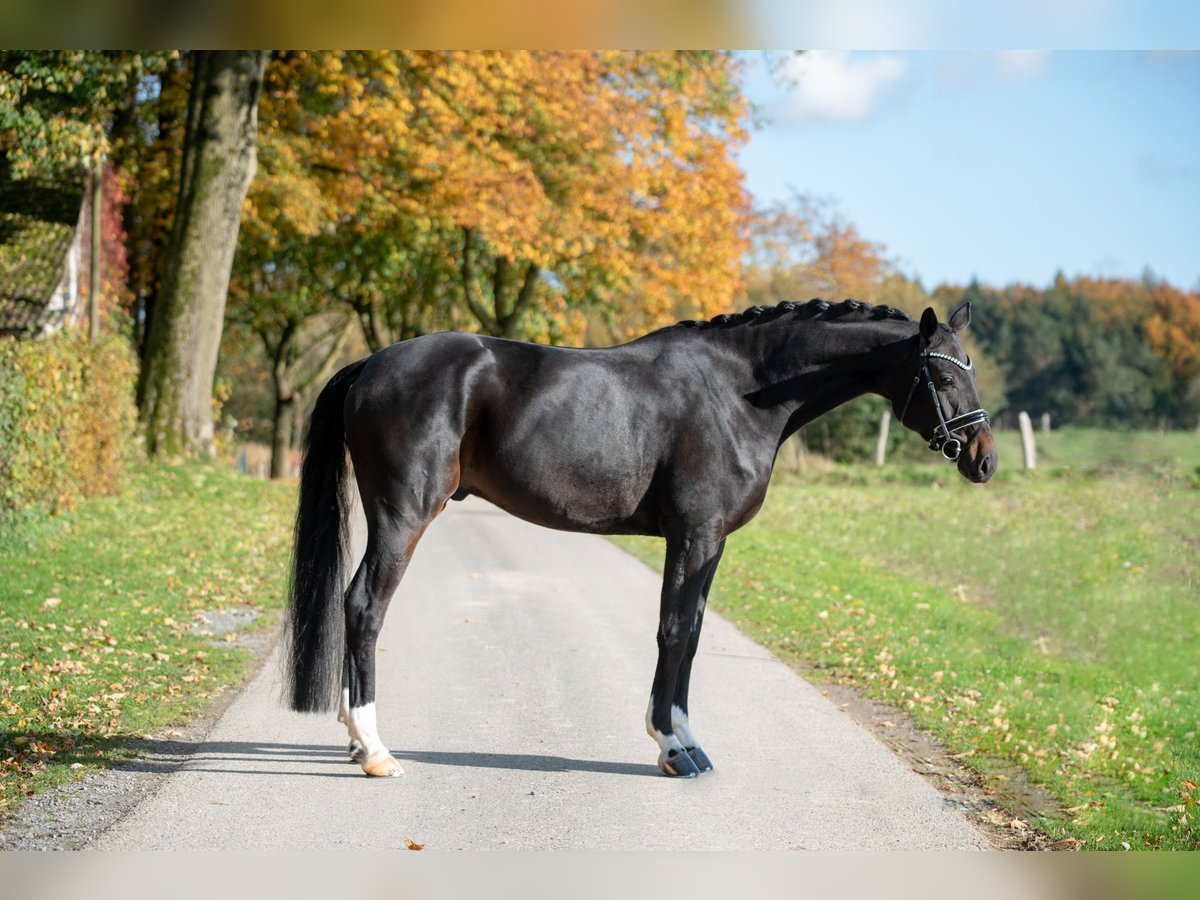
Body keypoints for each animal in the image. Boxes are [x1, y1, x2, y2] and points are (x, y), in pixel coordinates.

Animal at [285, 300, 998, 777]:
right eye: (942, 376)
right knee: (364, 607)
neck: (740, 393)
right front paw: (672, 746)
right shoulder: (694, 535)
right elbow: (674, 632)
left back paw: (356, 739)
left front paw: (686, 738)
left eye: (970, 368)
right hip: (403, 516)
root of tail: (372, 364)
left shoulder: (711, 543)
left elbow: (695, 632)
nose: (985, 459)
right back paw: (375, 750)